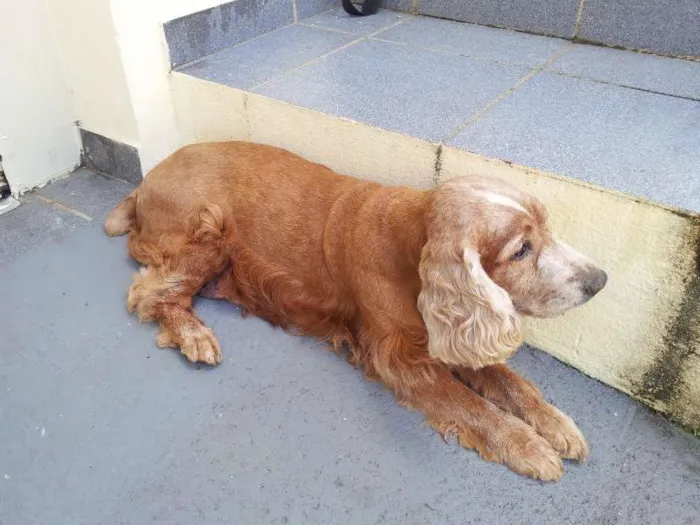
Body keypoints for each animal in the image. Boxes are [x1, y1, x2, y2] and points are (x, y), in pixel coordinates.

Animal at [105, 142, 608, 478]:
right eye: (522, 250)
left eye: (547, 229)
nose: (599, 281)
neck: (409, 243)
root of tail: (143, 184)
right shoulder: (399, 356)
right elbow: (470, 404)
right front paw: (528, 446)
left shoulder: (446, 336)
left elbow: (508, 381)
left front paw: (556, 424)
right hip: (209, 230)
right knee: (147, 294)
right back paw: (193, 334)